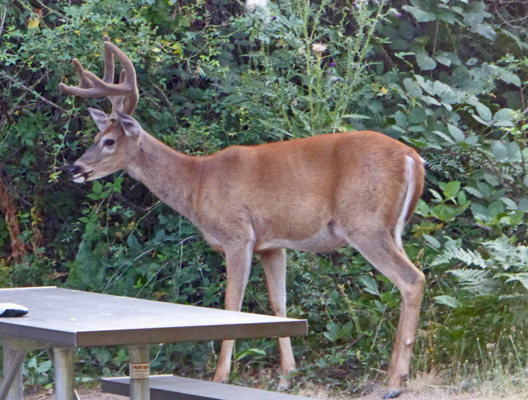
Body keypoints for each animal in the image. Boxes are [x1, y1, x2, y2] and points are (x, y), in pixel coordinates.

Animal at [59, 36, 424, 396]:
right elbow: (279, 305)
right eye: (95, 137)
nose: (74, 168)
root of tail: (413, 159)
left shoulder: (238, 235)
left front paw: (220, 376)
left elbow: (231, 306)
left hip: (365, 223)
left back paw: (395, 380)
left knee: (413, 279)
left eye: (108, 141)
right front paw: (287, 375)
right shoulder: (271, 244)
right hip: (392, 228)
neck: (197, 182)